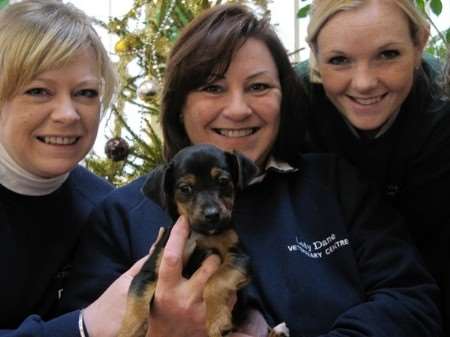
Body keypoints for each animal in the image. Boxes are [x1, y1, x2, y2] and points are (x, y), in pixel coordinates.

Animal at [118, 144, 288, 336]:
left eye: (223, 182)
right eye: (185, 188)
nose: (212, 215)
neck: (201, 234)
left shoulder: (239, 257)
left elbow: (215, 281)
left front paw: (217, 321)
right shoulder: (148, 271)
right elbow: (135, 304)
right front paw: (127, 332)